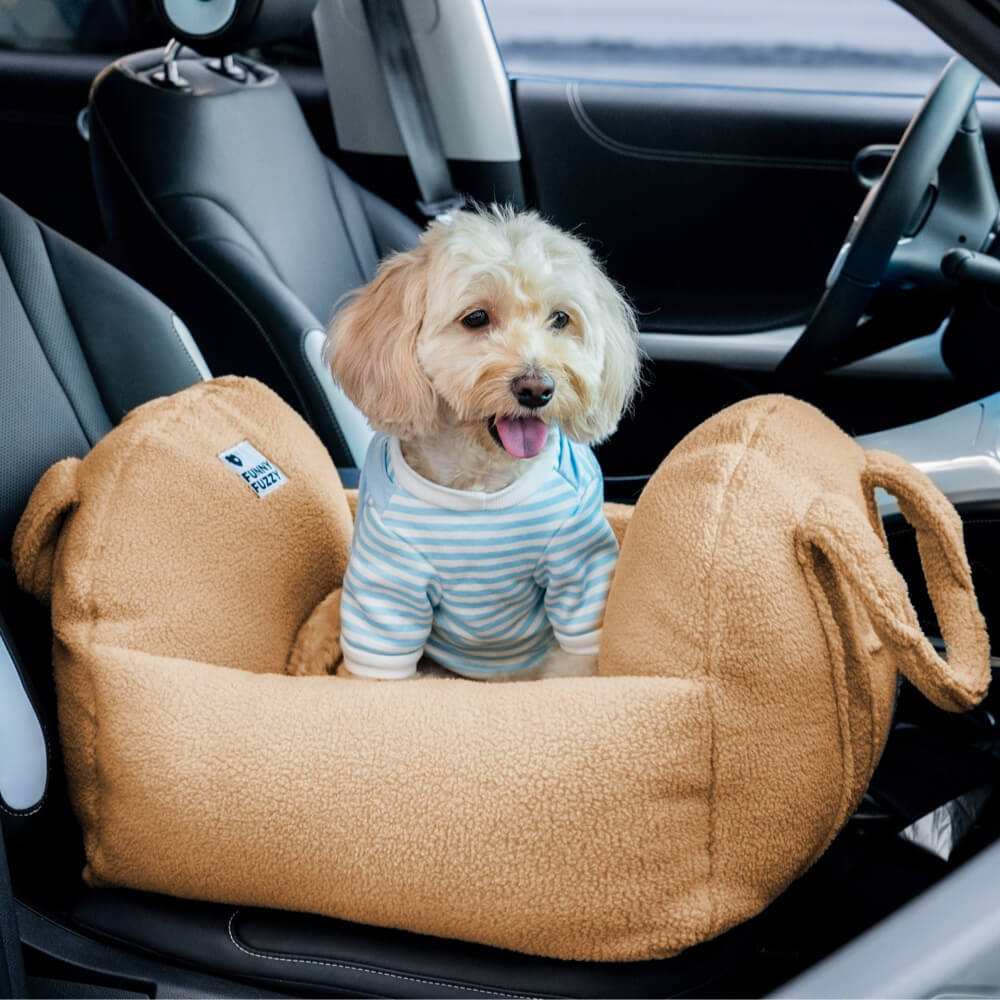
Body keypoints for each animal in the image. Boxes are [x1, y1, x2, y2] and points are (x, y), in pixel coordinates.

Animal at [328, 205, 640, 680]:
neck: (482, 482)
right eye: (475, 318)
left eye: (561, 318)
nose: (537, 388)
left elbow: (576, 659)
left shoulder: (577, 565)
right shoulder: (387, 581)